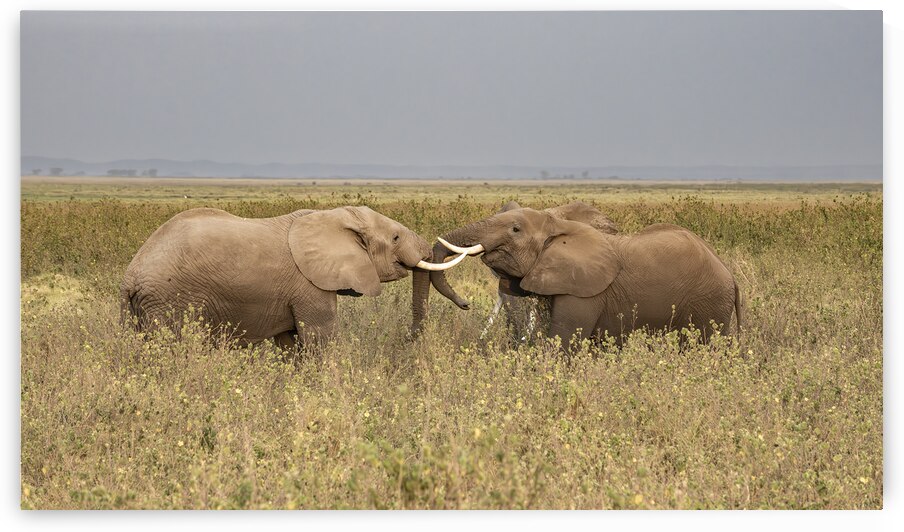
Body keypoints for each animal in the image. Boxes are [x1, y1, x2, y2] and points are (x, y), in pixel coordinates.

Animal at [121, 206, 454, 349]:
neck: (331, 215)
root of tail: (130, 278)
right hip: (170, 302)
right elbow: (319, 338)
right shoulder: (308, 284)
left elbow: (290, 343)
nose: (408, 338)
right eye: (395, 238)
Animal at [418, 206, 741, 347]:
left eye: (515, 229)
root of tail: (730, 275)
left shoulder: (584, 290)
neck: (559, 225)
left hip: (709, 301)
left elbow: (563, 339)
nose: (465, 304)